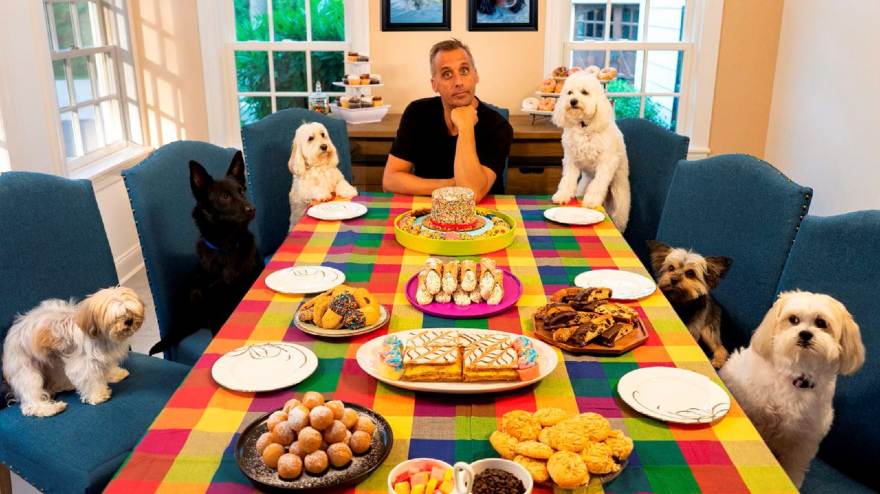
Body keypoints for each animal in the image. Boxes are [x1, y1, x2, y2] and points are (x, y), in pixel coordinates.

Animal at [3, 286, 144, 416]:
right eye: (116, 317)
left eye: (130, 311)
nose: (129, 321)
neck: (103, 338)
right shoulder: (83, 363)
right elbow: (90, 379)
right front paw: (97, 396)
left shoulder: (105, 357)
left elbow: (108, 367)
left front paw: (115, 374)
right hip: (27, 373)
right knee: (30, 402)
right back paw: (50, 409)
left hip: (54, 364)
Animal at [148, 152, 262, 356]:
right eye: (225, 196)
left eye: (242, 191)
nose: (252, 209)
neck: (227, 246)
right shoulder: (214, 299)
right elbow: (217, 325)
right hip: (196, 291)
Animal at [548, 67, 628, 232]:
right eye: (569, 92)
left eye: (584, 92)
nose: (573, 101)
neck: (583, 125)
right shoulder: (571, 160)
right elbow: (567, 180)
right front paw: (562, 196)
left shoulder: (606, 163)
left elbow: (598, 184)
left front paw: (591, 201)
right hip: (584, 182)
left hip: (619, 195)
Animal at [720, 290, 868, 486]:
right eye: (793, 319)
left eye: (821, 323)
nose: (805, 334)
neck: (796, 377)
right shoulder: (755, 412)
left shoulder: (802, 441)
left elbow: (794, 469)